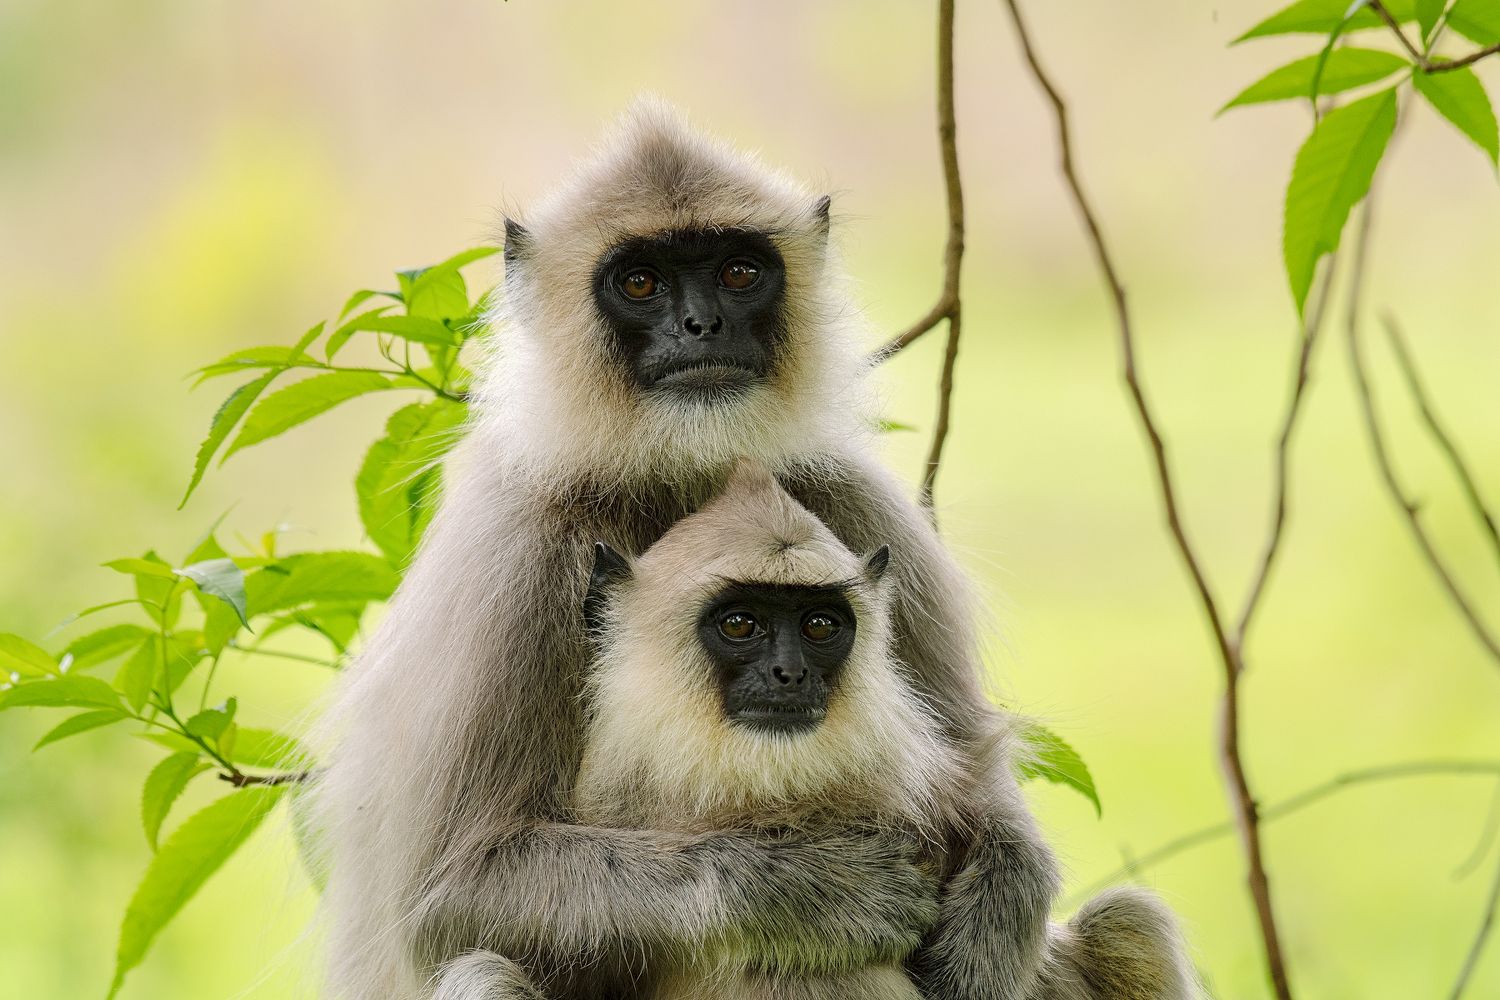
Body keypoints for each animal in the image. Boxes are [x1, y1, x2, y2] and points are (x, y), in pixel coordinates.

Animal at [319, 98, 1059, 1000]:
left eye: (739, 273)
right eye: (641, 282)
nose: (700, 324)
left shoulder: (849, 494)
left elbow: (977, 777)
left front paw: (987, 929)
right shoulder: (513, 550)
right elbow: (447, 897)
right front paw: (811, 889)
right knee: (481, 965)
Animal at [431, 462, 1199, 1000]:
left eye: (821, 626)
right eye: (741, 623)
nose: (789, 674)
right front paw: (809, 893)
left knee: (1127, 921)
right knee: (484, 973)